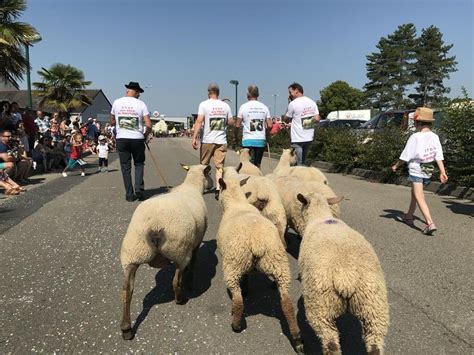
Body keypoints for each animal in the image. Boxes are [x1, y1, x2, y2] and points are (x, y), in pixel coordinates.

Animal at [119, 165, 212, 340]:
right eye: (210, 174)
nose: (212, 186)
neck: (191, 186)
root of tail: (155, 226)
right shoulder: (196, 241)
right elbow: (193, 262)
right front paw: (190, 281)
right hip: (180, 250)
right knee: (176, 281)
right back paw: (180, 299)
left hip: (132, 253)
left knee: (127, 291)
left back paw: (126, 329)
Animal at [218, 178, 306, 354]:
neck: (237, 204)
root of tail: (257, 242)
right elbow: (246, 277)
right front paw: (246, 287)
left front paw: (245, 290)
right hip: (279, 263)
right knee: (287, 304)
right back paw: (297, 340)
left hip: (233, 264)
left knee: (238, 300)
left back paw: (235, 325)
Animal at [296, 193, 388, 354]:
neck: (320, 217)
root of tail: (346, 275)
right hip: (374, 306)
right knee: (375, 344)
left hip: (321, 306)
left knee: (331, 344)